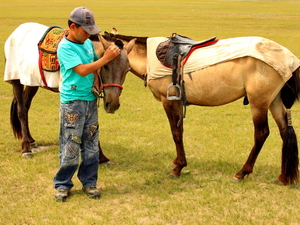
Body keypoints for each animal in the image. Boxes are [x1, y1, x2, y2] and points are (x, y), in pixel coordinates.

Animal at [3, 22, 135, 160]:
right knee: (21, 110)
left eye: (127, 69)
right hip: (16, 79)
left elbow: (93, 122)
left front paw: (101, 157)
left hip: (32, 82)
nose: (113, 104)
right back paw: (26, 148)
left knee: (26, 106)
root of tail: (16, 32)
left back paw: (31, 140)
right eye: (105, 66)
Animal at [103, 29, 300, 185]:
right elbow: (179, 131)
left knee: (261, 133)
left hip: (258, 102)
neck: (150, 58)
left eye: (107, 65)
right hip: (274, 101)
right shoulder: (177, 102)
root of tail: (288, 57)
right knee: (285, 131)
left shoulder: (169, 101)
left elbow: (176, 133)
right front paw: (179, 164)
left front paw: (178, 168)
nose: (111, 104)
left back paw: (242, 173)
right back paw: (283, 176)